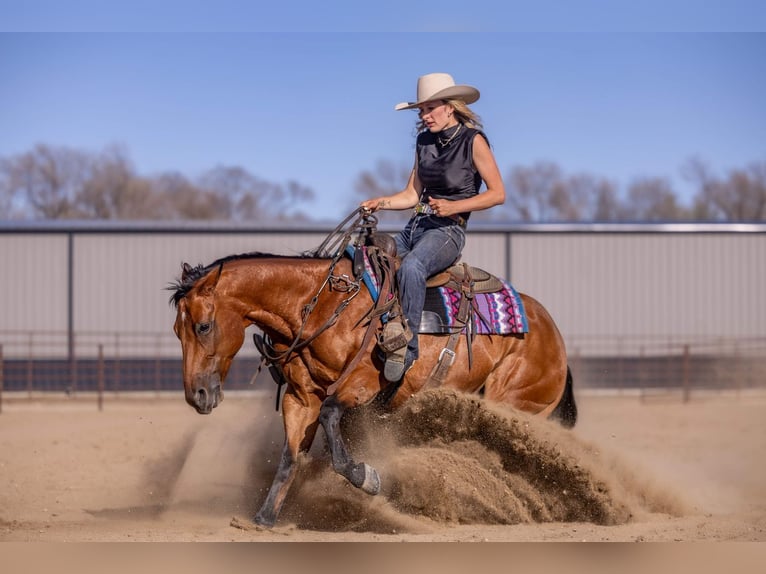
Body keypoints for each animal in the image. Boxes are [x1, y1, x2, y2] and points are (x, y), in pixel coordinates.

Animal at [169, 218, 576, 528]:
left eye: (203, 326)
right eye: (177, 330)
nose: (197, 395)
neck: (321, 305)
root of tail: (553, 335)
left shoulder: (363, 384)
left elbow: (332, 421)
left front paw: (367, 477)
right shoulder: (300, 398)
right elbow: (290, 457)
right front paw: (265, 517)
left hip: (511, 401)